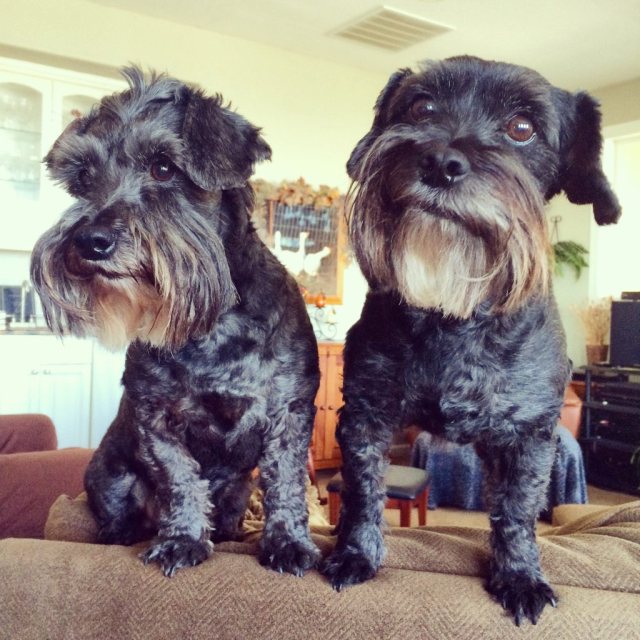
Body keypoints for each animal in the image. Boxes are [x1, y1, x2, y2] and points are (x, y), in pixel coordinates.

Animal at [30, 67, 320, 576]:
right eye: (83, 178)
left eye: (163, 167)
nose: (89, 241)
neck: (212, 323)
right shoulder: (155, 418)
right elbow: (179, 479)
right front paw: (182, 540)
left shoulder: (290, 412)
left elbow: (285, 482)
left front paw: (287, 544)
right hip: (108, 477)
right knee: (119, 518)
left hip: (239, 489)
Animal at [322, 55, 624, 624]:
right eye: (420, 107)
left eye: (522, 128)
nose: (440, 161)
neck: (456, 312)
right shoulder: (367, 414)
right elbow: (363, 489)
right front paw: (355, 555)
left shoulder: (530, 436)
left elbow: (517, 510)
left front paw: (520, 577)